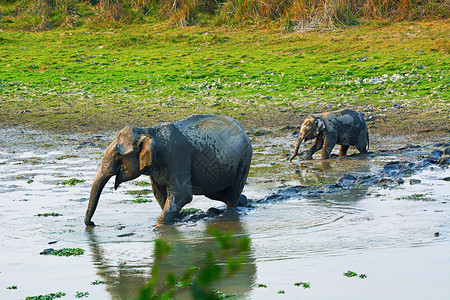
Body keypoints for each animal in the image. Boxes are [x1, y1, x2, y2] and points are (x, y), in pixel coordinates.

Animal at [84, 114, 253, 225]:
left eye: (118, 155)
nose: (92, 224)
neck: (148, 131)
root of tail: (242, 128)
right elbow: (159, 194)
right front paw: (176, 219)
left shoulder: (177, 157)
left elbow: (183, 193)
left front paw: (161, 224)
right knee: (214, 192)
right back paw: (241, 201)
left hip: (244, 160)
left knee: (233, 191)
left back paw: (229, 213)